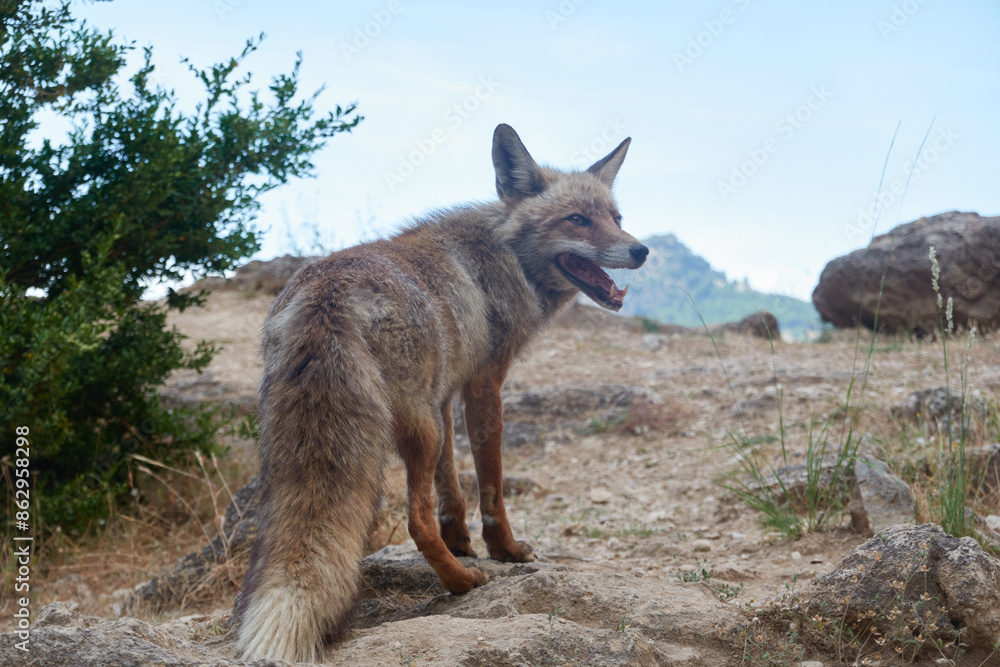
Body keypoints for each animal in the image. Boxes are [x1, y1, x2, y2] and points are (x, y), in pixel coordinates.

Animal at [233, 123, 648, 663]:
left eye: (616, 219)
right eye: (577, 220)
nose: (641, 250)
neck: (503, 257)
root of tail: (327, 297)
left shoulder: (446, 393)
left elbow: (451, 483)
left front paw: (462, 539)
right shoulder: (484, 387)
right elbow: (490, 484)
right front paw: (504, 552)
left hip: (338, 433)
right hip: (419, 428)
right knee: (414, 522)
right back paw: (461, 583)